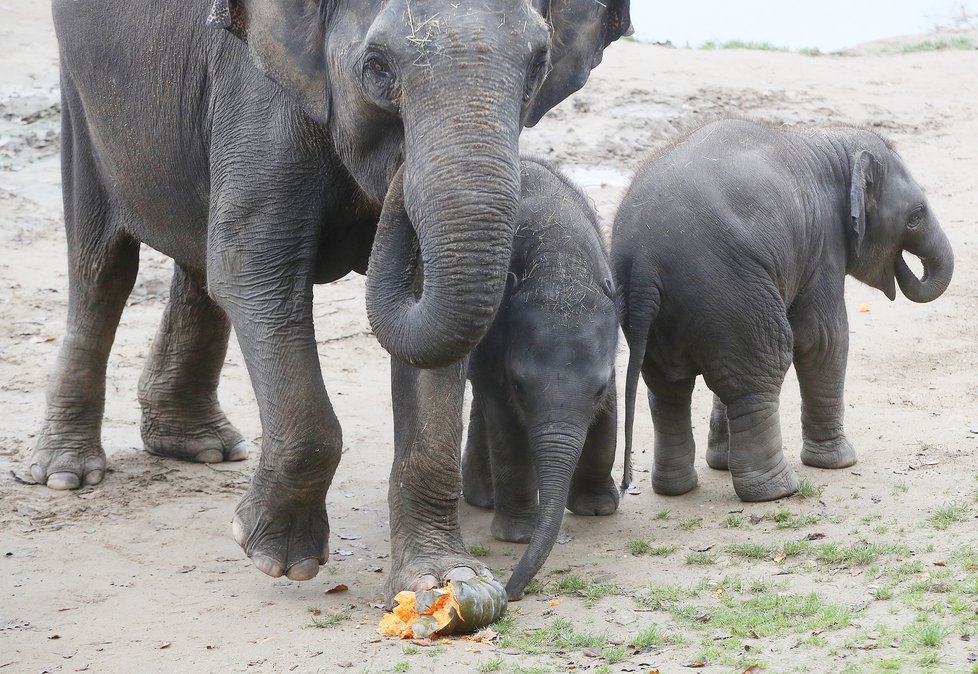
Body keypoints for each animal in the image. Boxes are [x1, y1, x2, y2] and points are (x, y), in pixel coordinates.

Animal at [464, 158, 616, 600]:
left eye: (599, 388)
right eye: (519, 385)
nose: (510, 593)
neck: (559, 267)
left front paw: (597, 509)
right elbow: (503, 418)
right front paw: (518, 534)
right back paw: (483, 499)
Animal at [612, 119, 948, 498]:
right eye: (915, 216)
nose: (904, 268)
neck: (834, 144)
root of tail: (644, 262)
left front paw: (720, 463)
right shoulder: (823, 244)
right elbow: (824, 339)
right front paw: (841, 462)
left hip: (681, 311)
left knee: (670, 389)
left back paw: (677, 489)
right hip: (730, 288)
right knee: (760, 369)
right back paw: (778, 490)